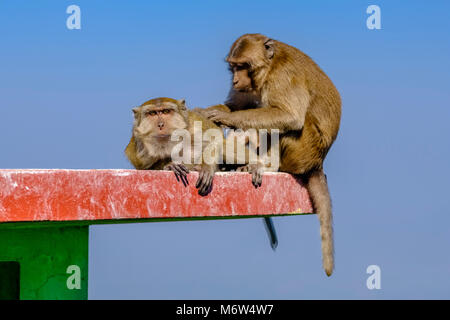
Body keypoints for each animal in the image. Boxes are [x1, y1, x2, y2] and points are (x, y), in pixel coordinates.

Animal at [200, 34, 342, 276]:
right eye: (233, 67)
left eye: (243, 66)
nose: (235, 80)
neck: (268, 67)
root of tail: (317, 163)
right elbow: (235, 105)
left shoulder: (283, 77)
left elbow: (289, 116)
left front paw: (222, 116)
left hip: (303, 149)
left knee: (287, 123)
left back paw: (265, 166)